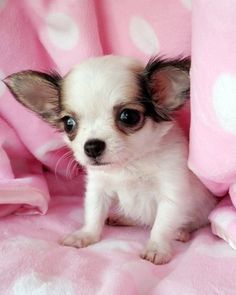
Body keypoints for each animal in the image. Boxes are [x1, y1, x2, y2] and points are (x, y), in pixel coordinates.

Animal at [4, 55, 218, 266]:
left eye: (129, 116)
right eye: (68, 123)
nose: (92, 146)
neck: (128, 165)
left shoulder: (171, 194)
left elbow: (161, 226)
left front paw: (157, 248)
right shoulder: (98, 189)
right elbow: (93, 214)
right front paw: (85, 235)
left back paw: (181, 232)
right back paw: (123, 218)